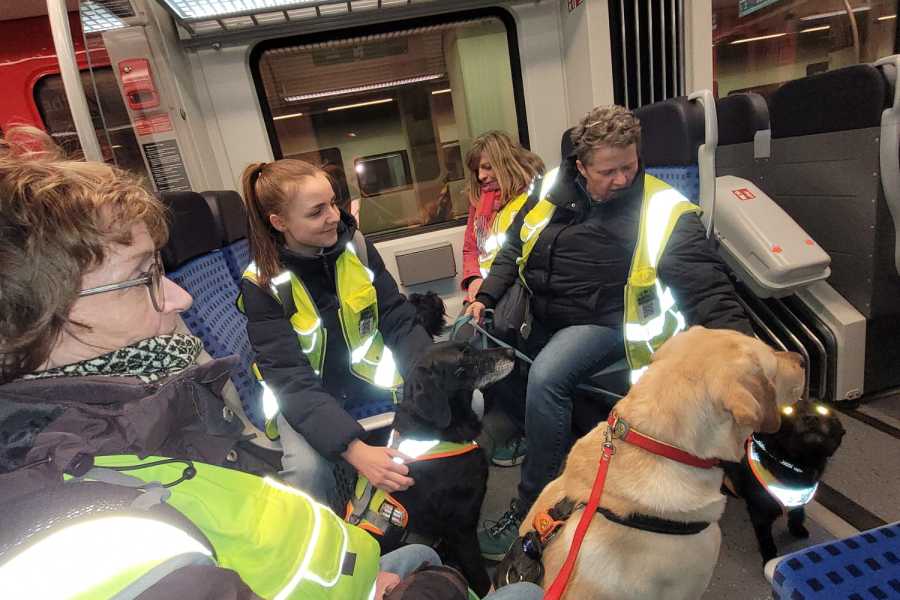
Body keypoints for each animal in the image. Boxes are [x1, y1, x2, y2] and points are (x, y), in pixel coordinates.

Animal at [348, 340, 510, 596]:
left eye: (472, 347)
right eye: (463, 360)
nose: (511, 352)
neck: (435, 430)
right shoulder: (462, 528)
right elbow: (480, 576)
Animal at [724, 398, 844, 564]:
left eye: (823, 409)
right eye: (788, 410)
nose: (811, 418)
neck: (795, 465)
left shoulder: (798, 496)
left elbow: (798, 514)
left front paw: (796, 530)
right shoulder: (760, 513)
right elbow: (765, 539)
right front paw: (769, 557)